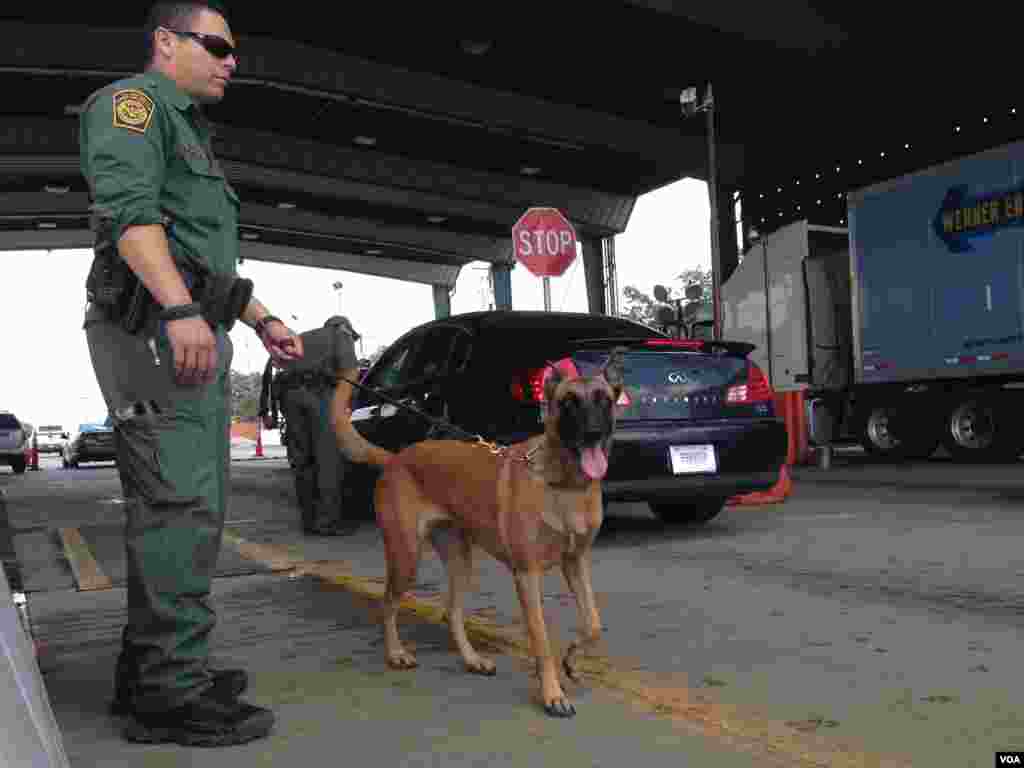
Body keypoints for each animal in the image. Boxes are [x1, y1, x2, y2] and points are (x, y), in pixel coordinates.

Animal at [331, 352, 626, 720]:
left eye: (604, 400)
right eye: (568, 403)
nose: (592, 433)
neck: (564, 484)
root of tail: (396, 458)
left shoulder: (575, 563)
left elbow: (593, 624)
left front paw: (572, 659)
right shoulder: (527, 576)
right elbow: (541, 639)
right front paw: (552, 695)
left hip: (460, 562)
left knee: (451, 612)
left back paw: (472, 660)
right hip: (406, 557)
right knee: (388, 604)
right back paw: (396, 653)